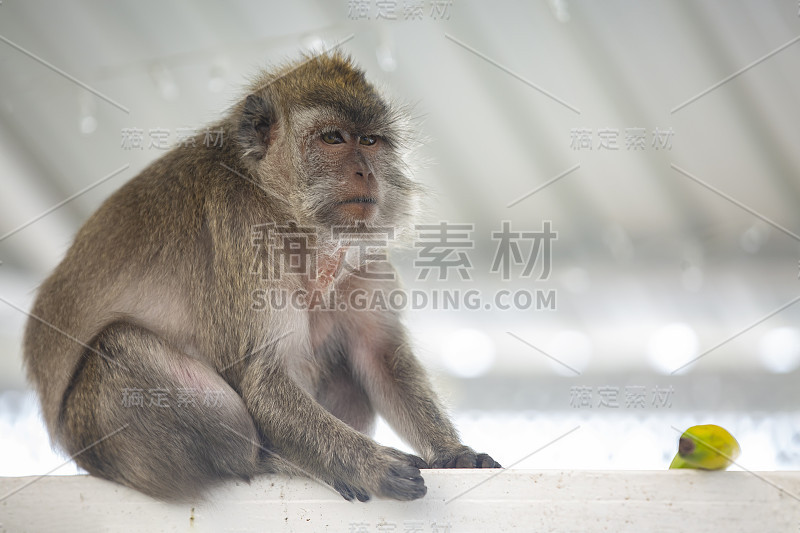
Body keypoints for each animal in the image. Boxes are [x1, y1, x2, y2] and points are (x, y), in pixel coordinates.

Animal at [23, 51, 500, 502]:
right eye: (332, 138)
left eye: (370, 140)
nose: (366, 171)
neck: (288, 215)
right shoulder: (244, 230)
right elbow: (262, 378)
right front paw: (371, 465)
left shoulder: (362, 256)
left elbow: (379, 356)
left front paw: (454, 453)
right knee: (120, 346)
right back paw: (273, 463)